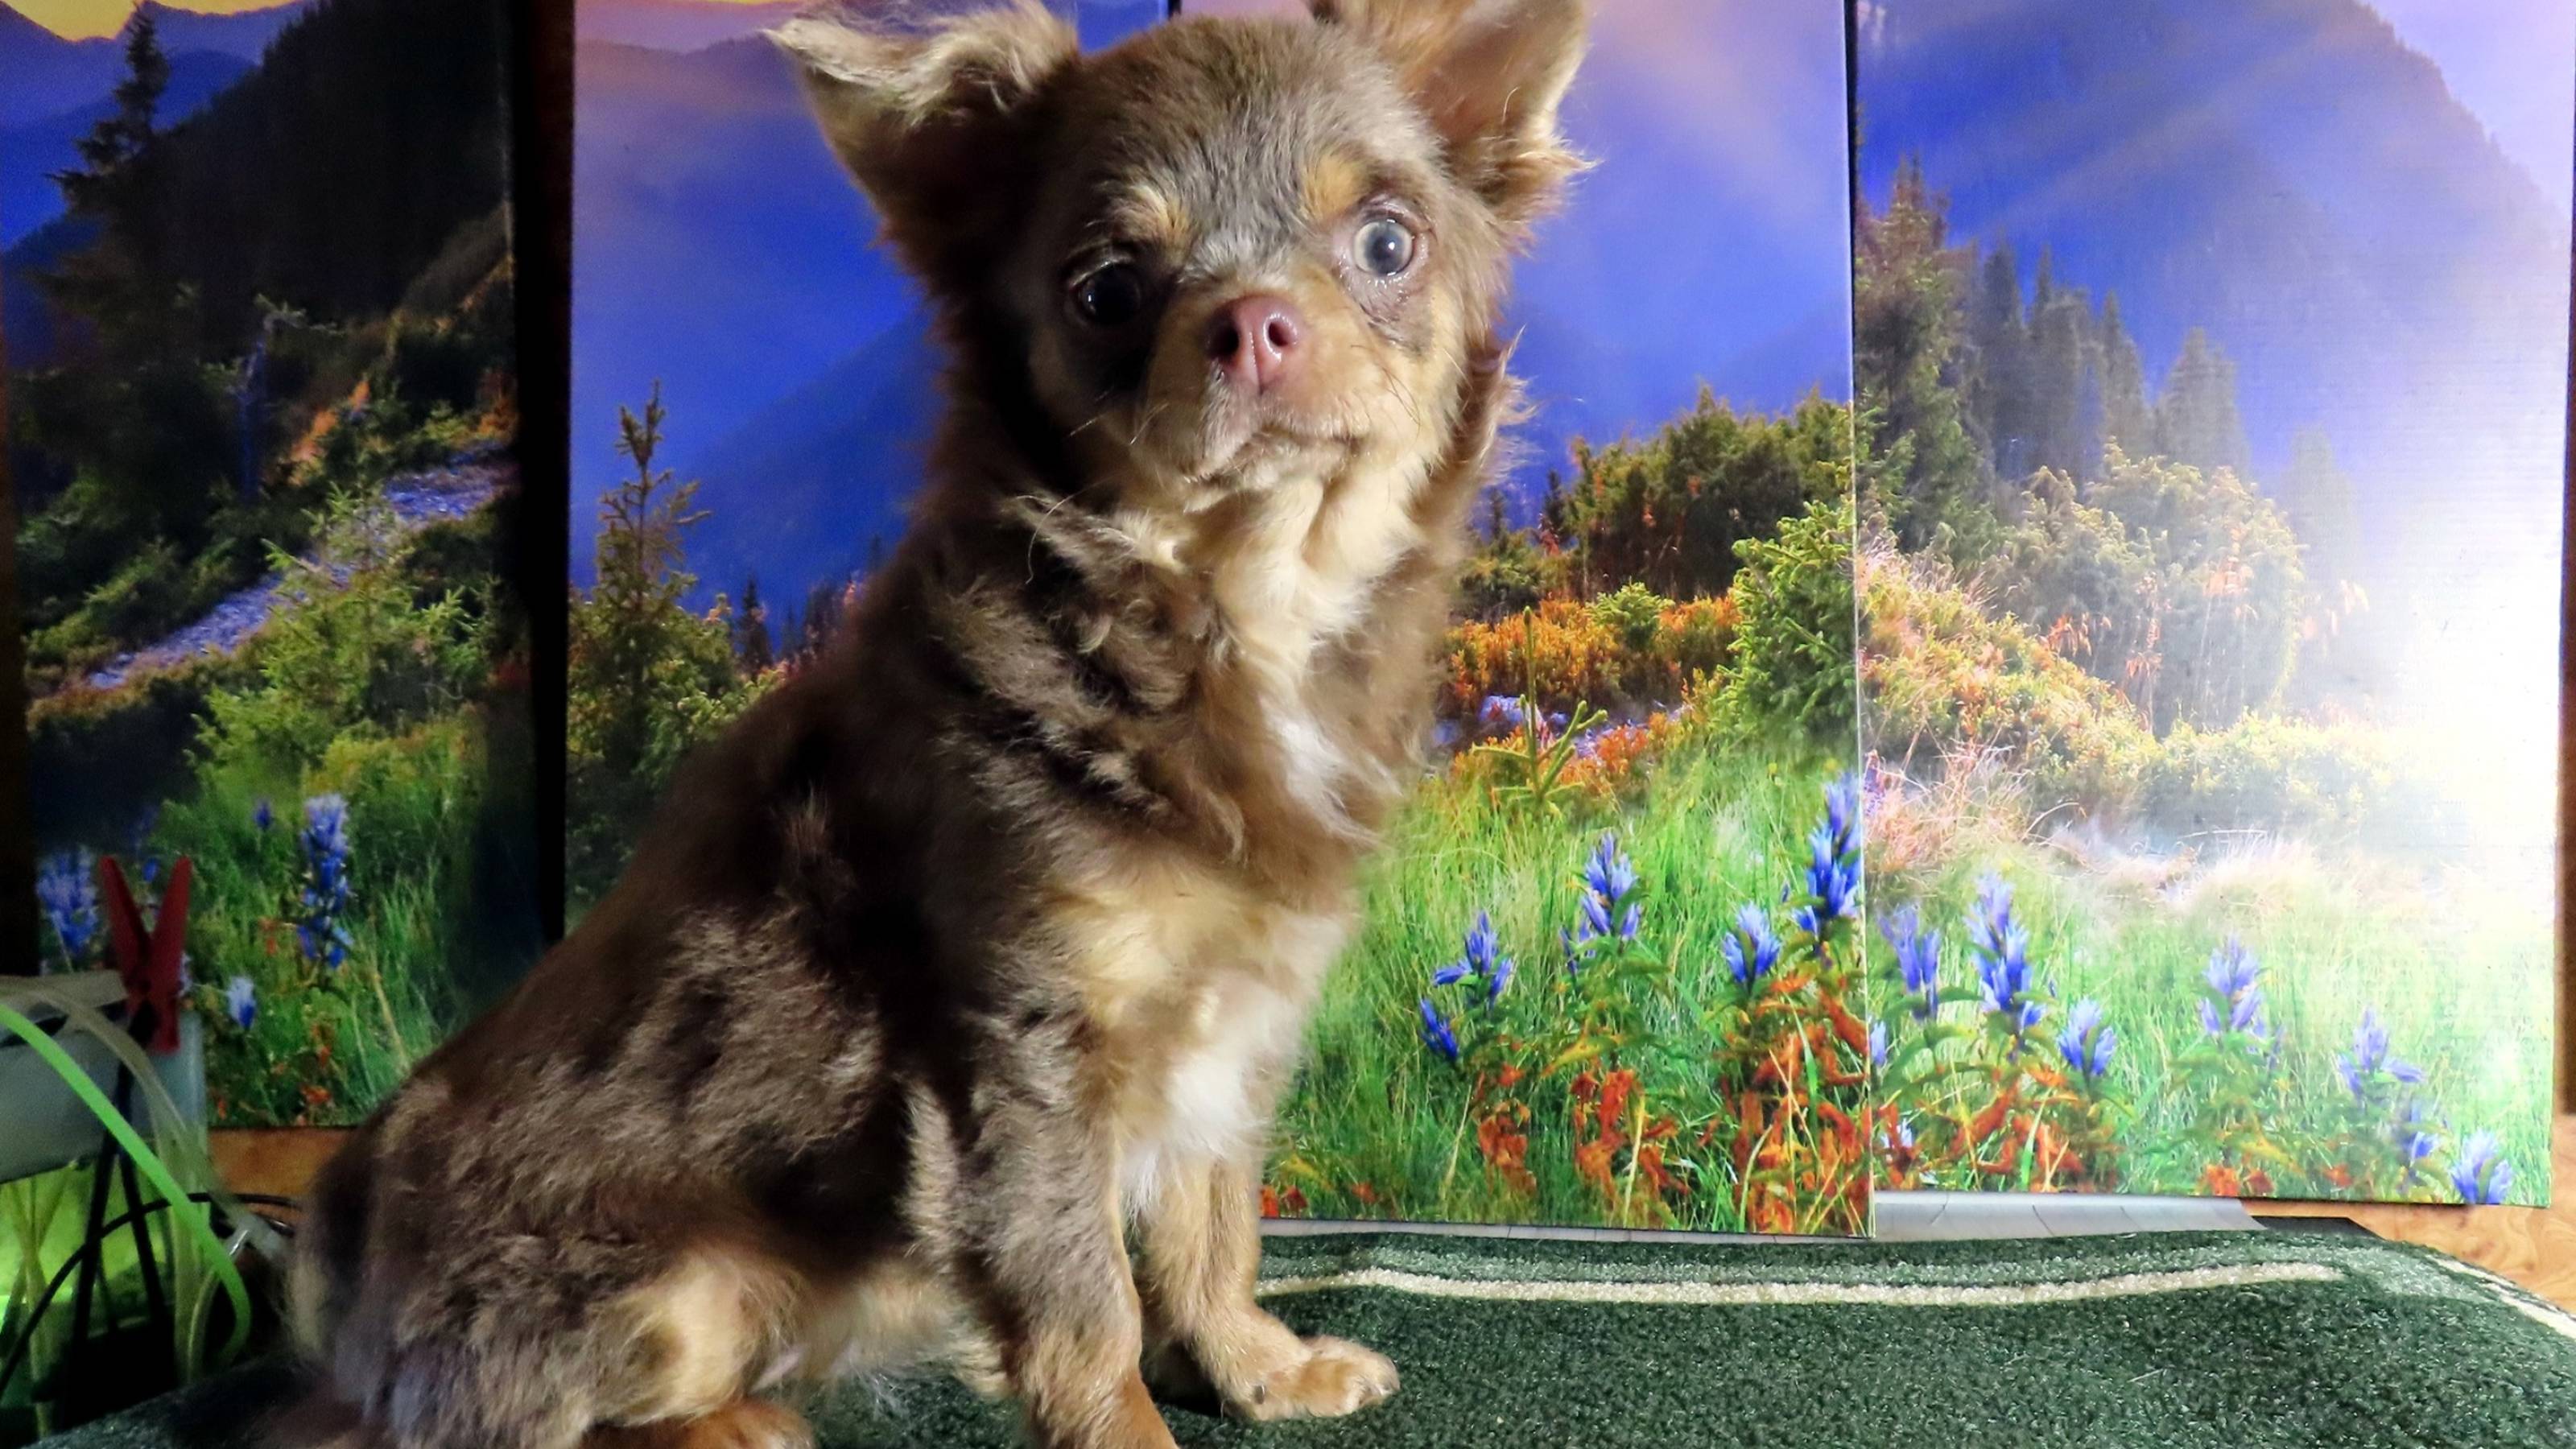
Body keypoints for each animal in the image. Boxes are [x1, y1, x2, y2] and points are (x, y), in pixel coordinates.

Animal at [281, 2, 1589, 1445]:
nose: (1251, 323)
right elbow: (1088, 1309)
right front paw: (1135, 1422)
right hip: (683, 1295)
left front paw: (1255, 1367)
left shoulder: (1231, 1028)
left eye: (1387, 243)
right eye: (1106, 291)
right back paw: (736, 1427)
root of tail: (341, 1296)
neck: (1234, 611)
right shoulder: (1021, 1064)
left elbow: (1209, 1229)